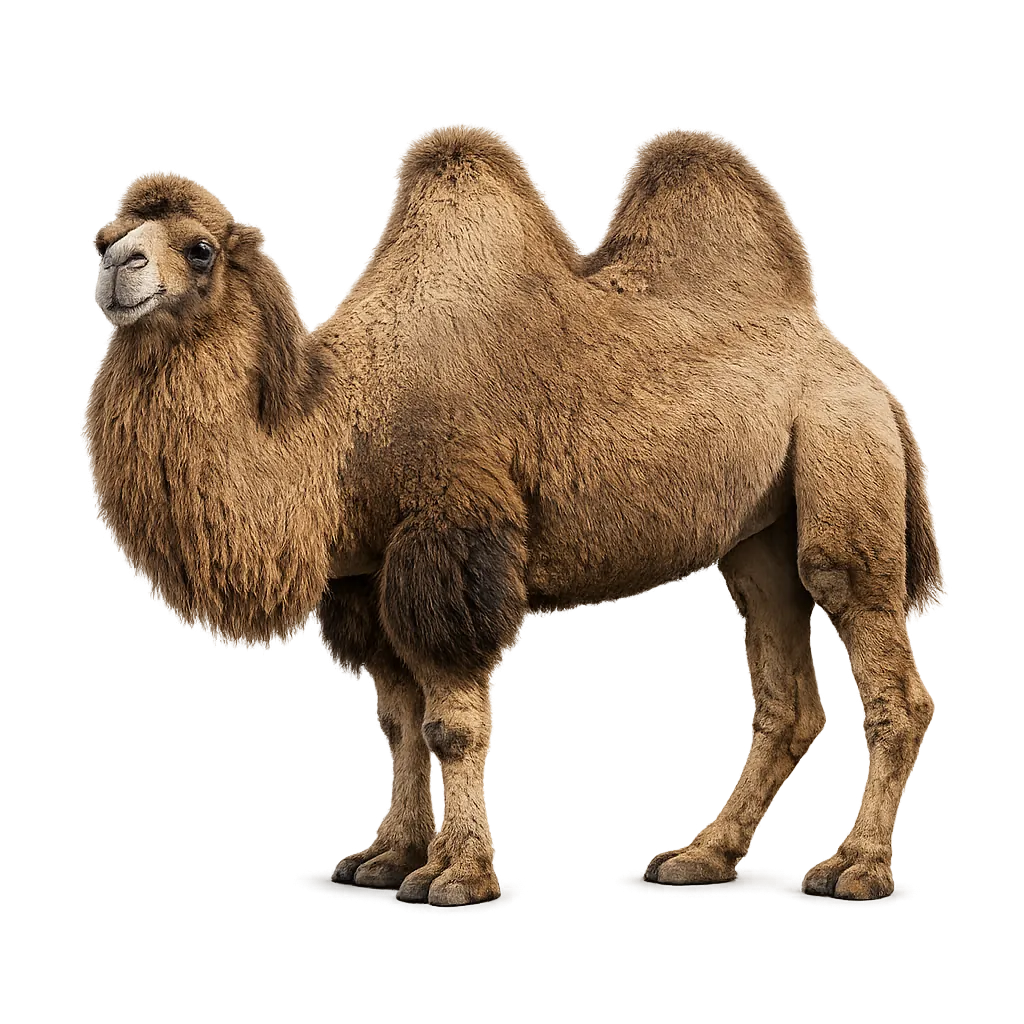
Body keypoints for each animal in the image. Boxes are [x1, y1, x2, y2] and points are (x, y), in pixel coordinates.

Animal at [87, 128, 938, 907]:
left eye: (199, 248)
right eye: (106, 236)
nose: (116, 267)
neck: (336, 429)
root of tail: (864, 375)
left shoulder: (450, 539)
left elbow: (448, 726)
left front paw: (456, 874)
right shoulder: (367, 574)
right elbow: (397, 723)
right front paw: (386, 858)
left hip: (842, 454)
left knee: (873, 644)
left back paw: (855, 867)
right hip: (758, 537)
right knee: (782, 690)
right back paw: (699, 854)